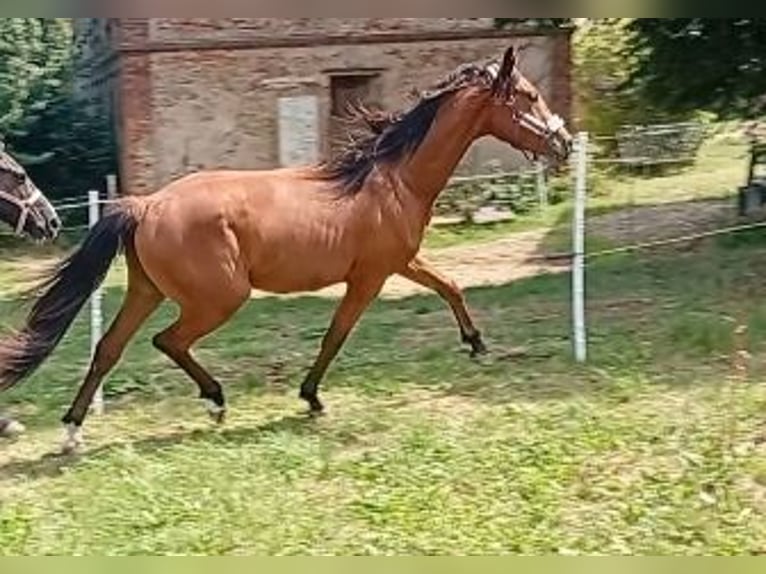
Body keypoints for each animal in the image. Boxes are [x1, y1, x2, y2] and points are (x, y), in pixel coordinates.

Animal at [0, 45, 572, 453]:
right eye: (527, 96)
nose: (564, 142)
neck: (394, 180)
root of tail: (146, 205)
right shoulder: (370, 277)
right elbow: (336, 336)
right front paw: (312, 398)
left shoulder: (401, 262)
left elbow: (450, 285)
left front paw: (476, 344)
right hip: (218, 299)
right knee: (168, 341)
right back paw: (215, 401)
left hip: (146, 290)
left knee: (108, 349)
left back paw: (73, 432)